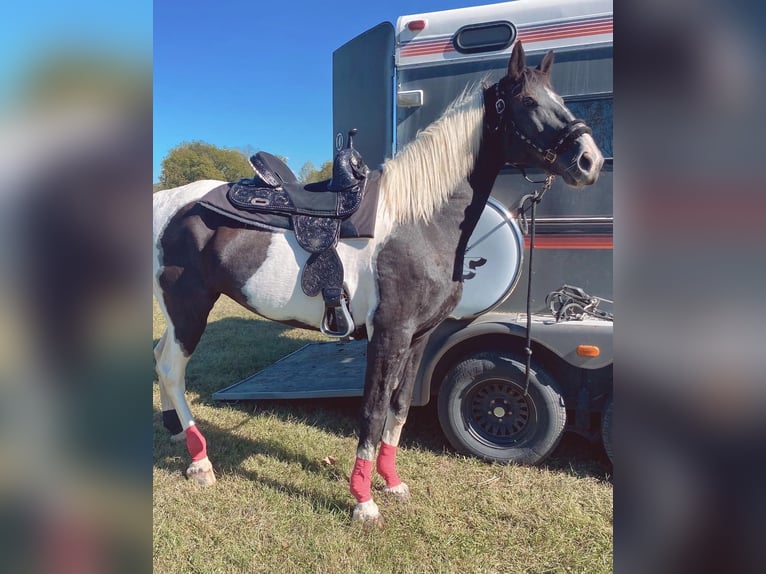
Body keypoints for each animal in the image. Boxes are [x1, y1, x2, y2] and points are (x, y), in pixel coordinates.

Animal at [153, 42, 604, 526]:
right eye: (529, 102)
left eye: (561, 100)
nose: (589, 160)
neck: (418, 221)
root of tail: (169, 201)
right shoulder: (388, 334)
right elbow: (372, 410)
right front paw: (363, 500)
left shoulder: (420, 337)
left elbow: (399, 407)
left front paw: (392, 482)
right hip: (190, 308)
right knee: (172, 369)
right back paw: (200, 461)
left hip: (178, 315)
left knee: (160, 357)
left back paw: (176, 432)